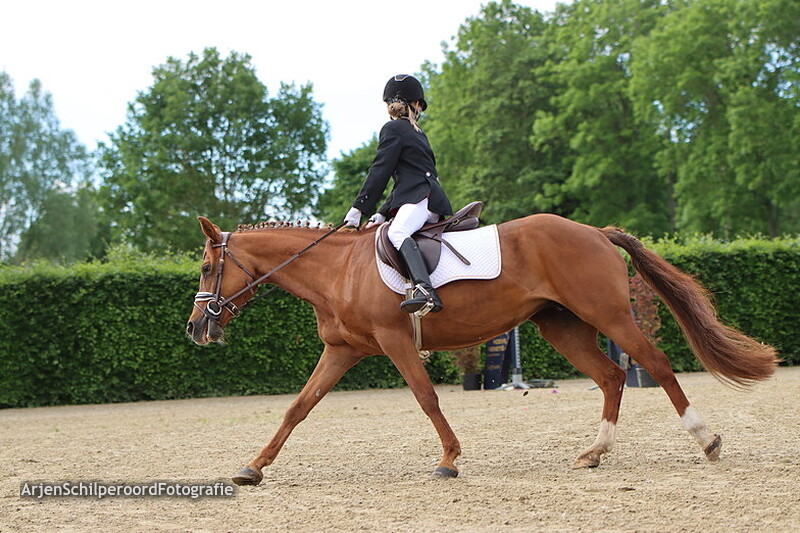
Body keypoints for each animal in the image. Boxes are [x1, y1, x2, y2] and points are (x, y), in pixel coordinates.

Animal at [185, 213, 778, 486]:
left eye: (208, 267)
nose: (195, 328)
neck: (338, 270)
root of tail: (592, 229)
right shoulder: (342, 352)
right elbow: (298, 407)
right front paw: (252, 468)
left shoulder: (396, 341)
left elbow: (427, 398)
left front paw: (449, 459)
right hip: (562, 327)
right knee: (611, 376)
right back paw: (594, 452)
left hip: (607, 316)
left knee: (652, 365)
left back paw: (707, 439)